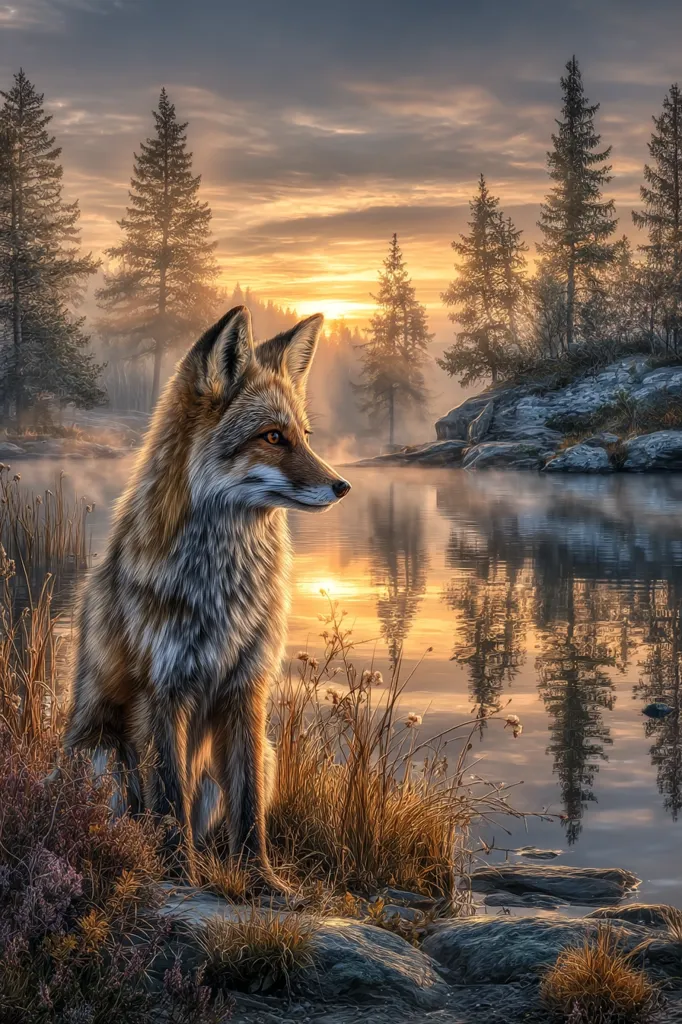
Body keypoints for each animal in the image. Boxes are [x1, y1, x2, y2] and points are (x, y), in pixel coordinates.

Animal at [64, 305, 351, 889]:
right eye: (272, 437)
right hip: (101, 760)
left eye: (305, 435)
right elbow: (170, 798)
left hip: (266, 753)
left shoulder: (247, 689)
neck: (223, 591)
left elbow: (249, 808)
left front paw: (262, 882)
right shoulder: (161, 690)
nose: (342, 486)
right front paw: (178, 873)